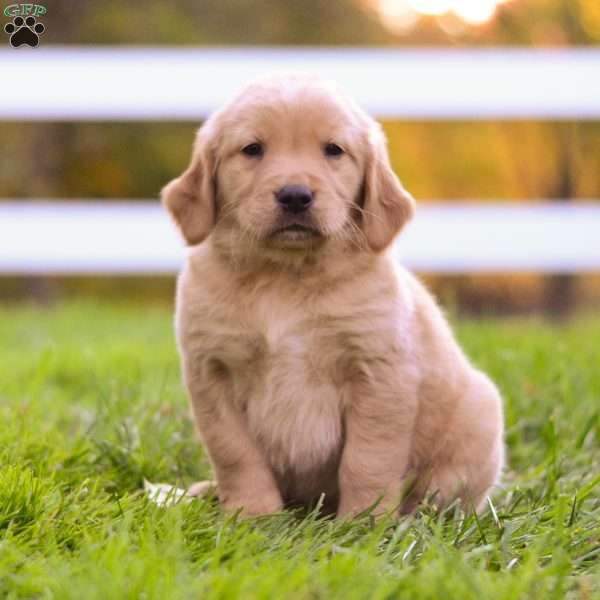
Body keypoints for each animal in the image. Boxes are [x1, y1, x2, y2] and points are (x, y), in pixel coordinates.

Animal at [162, 74, 504, 516]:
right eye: (252, 149)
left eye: (333, 150)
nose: (294, 195)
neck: (285, 277)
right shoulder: (212, 373)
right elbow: (235, 454)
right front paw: (253, 514)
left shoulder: (379, 373)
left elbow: (367, 459)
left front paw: (364, 521)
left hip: (480, 414)